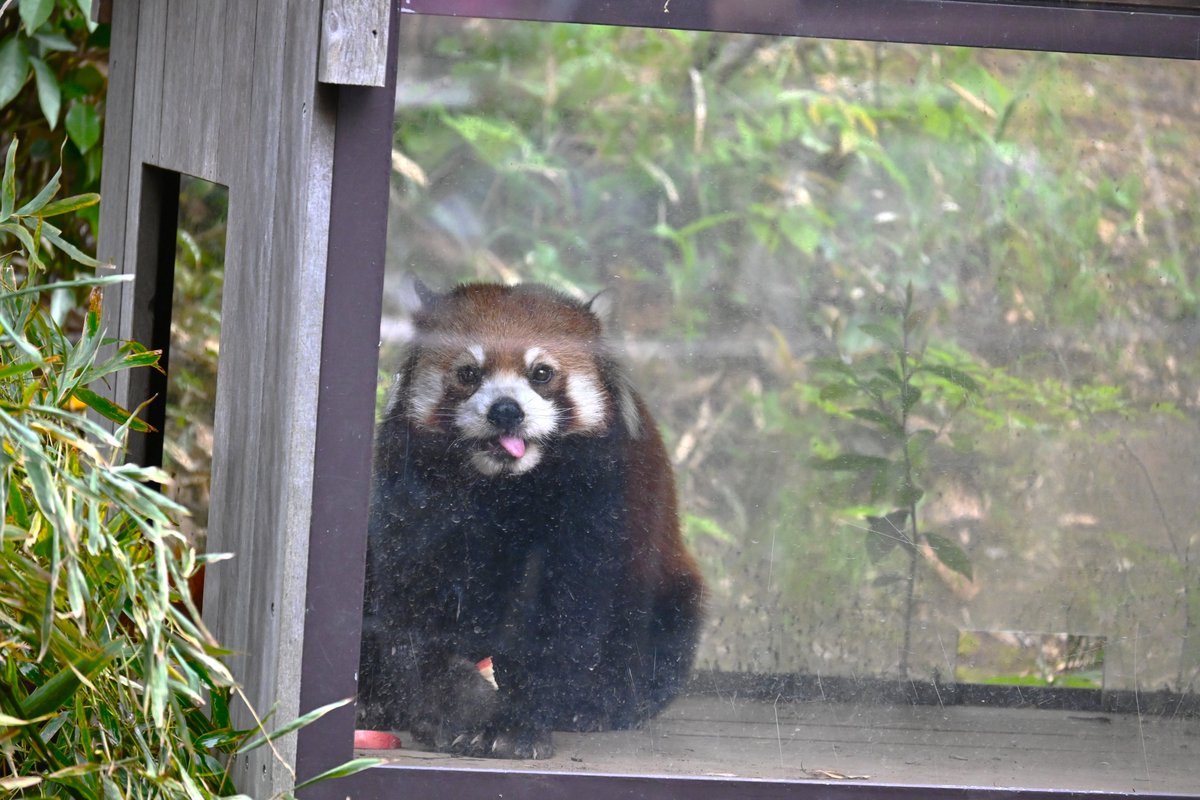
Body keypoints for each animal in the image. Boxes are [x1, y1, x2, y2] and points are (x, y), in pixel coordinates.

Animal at [360, 284, 705, 762]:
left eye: (541, 373)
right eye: (469, 373)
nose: (506, 411)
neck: (506, 488)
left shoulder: (599, 498)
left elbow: (568, 617)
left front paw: (519, 720)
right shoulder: (411, 492)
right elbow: (415, 610)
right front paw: (458, 710)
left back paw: (599, 706)